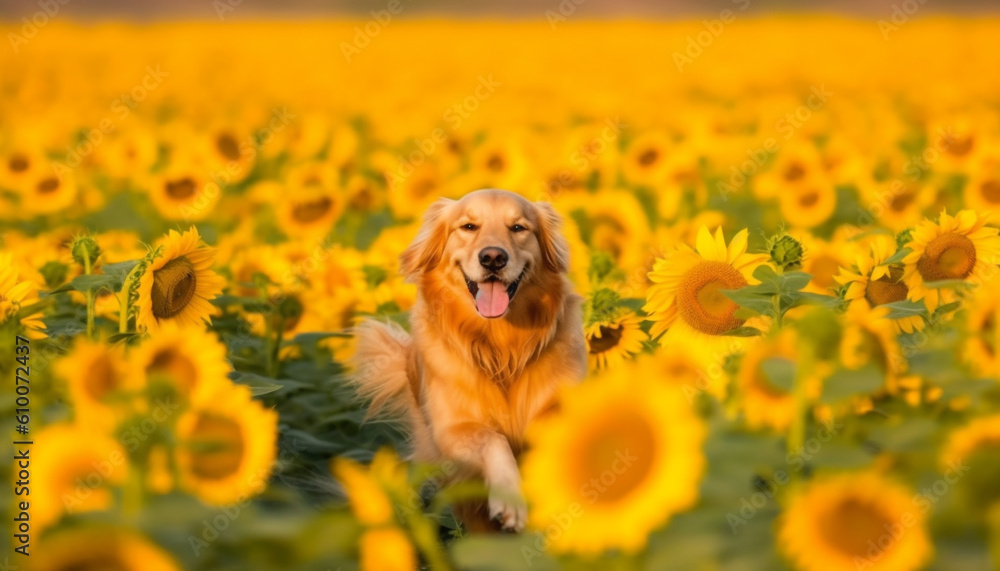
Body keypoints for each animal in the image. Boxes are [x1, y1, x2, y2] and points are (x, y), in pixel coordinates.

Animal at [352, 188, 584, 532]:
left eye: (518, 228)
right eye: (469, 227)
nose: (493, 257)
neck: (502, 346)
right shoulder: (451, 431)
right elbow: (494, 440)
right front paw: (510, 501)